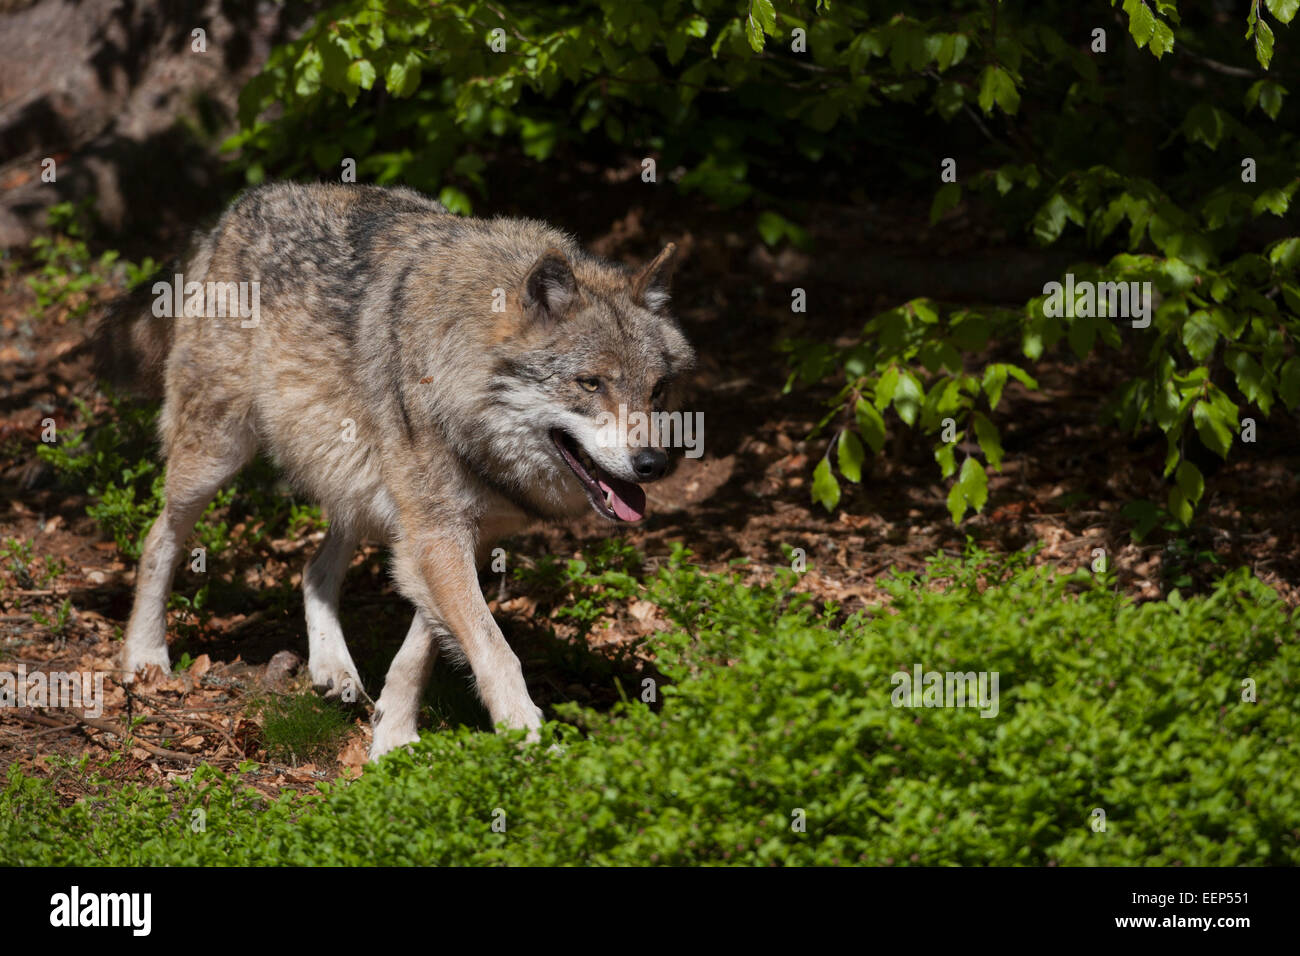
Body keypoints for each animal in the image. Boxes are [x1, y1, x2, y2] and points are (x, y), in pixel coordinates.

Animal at [102, 183, 696, 759]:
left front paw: (392, 737)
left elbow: (421, 651)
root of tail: (236, 209)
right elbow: (496, 651)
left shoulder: (453, 537)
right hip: (217, 457)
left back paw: (333, 669)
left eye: (658, 390)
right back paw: (145, 655)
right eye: (590, 383)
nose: (654, 464)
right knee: (158, 538)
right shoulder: (436, 535)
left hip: (355, 481)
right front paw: (530, 741)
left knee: (313, 569)